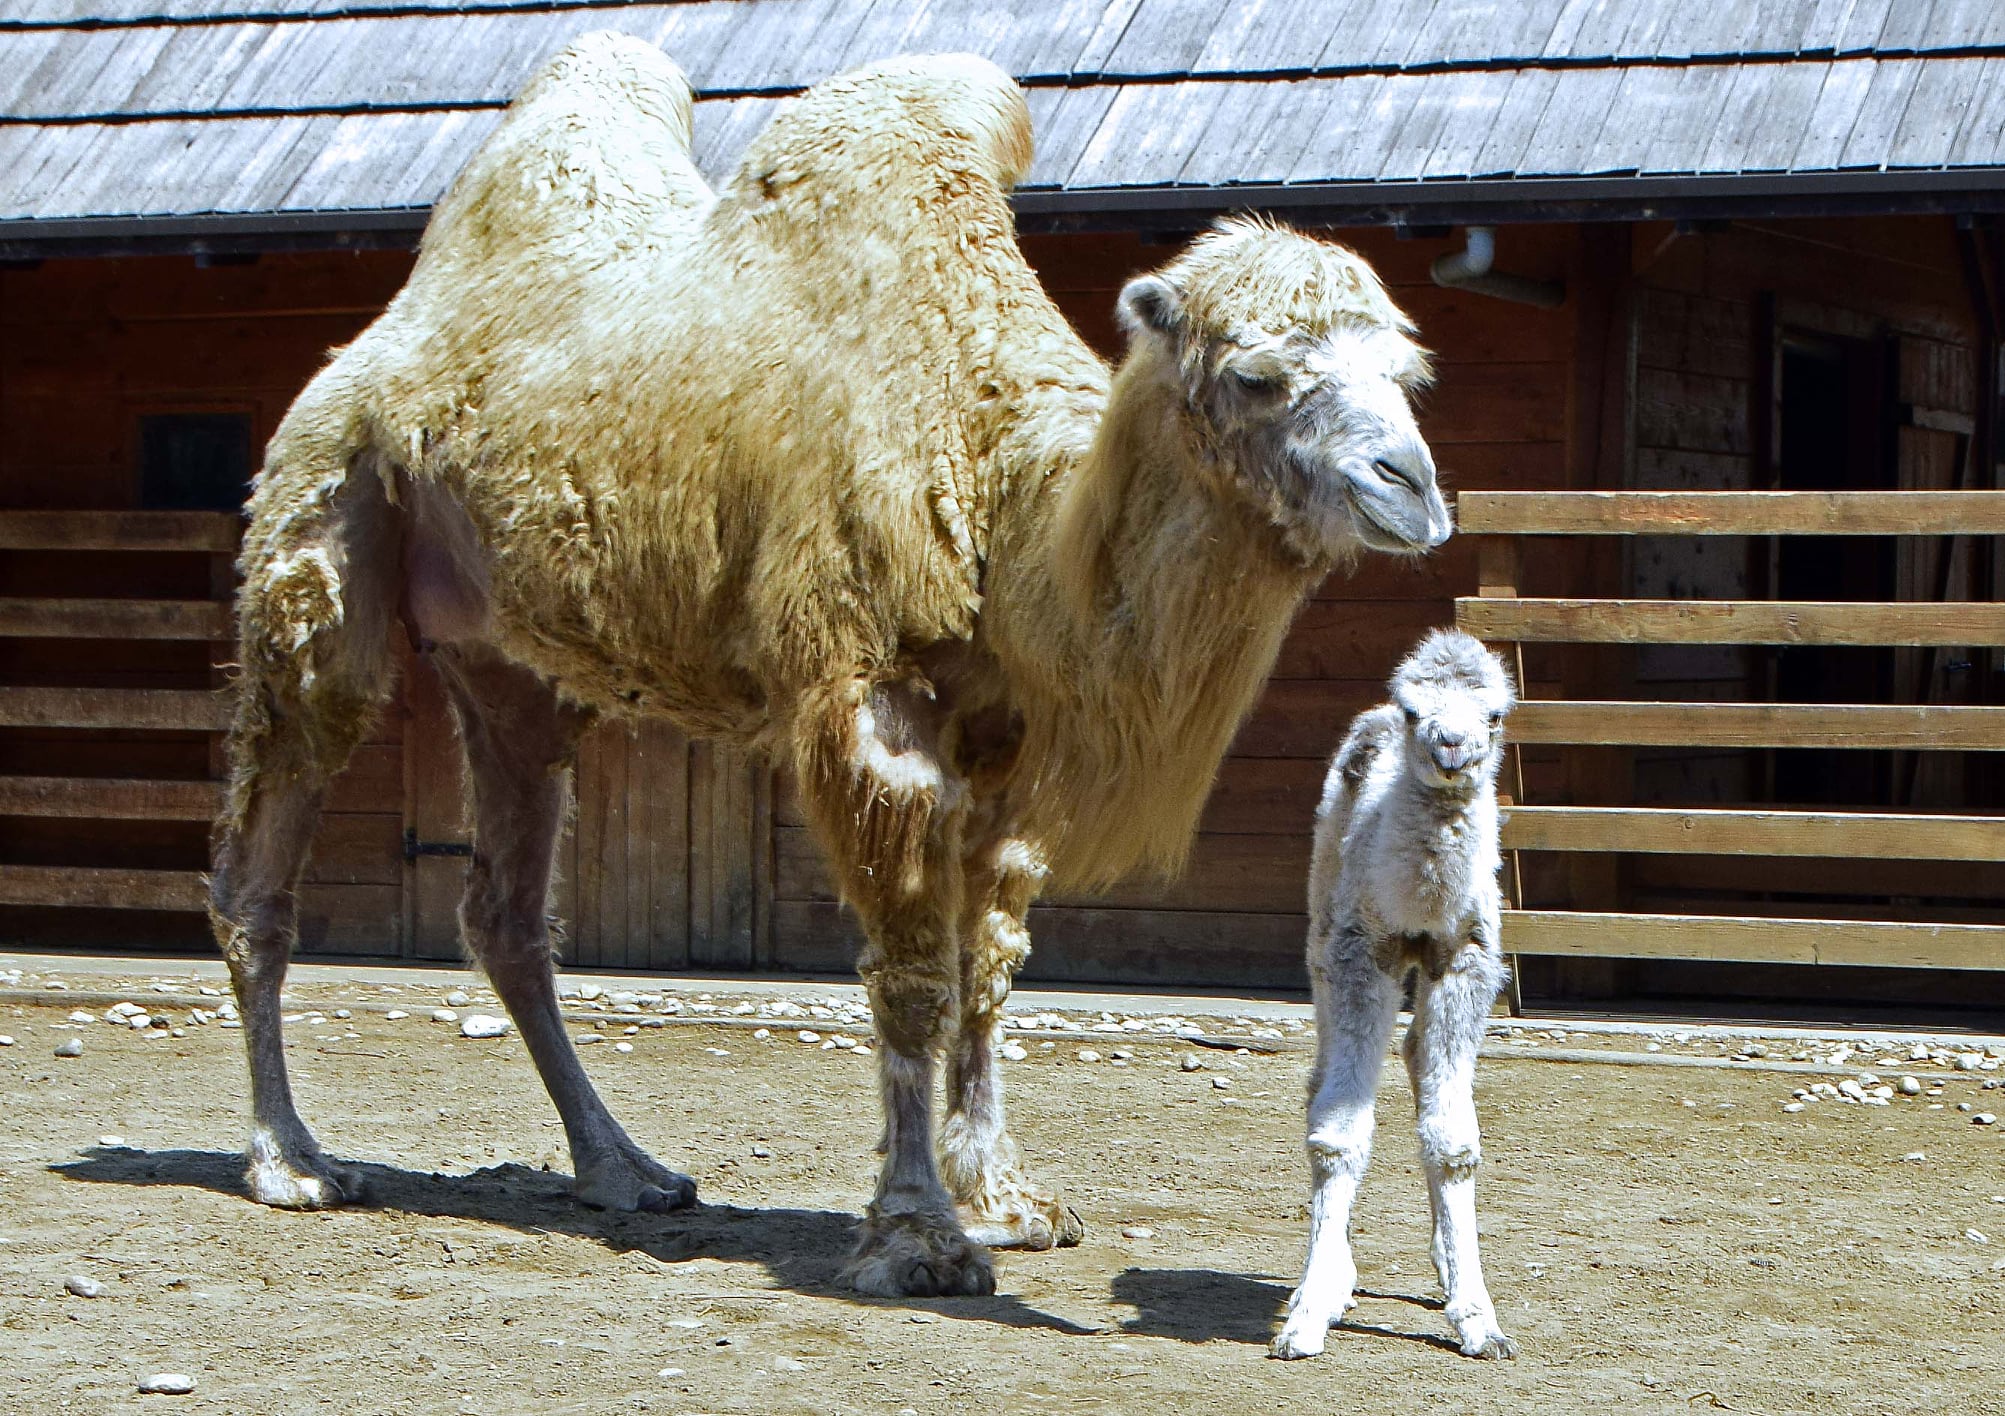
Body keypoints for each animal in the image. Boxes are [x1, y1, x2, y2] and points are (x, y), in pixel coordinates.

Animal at [211, 30, 1451, 1291]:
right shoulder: (868, 705)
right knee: (267, 852)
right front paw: (917, 1236)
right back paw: (291, 1161)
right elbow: (912, 978)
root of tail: (367, 344)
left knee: (506, 911)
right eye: (1257, 376)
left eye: (1408, 376)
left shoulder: (1006, 735)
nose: (1411, 486)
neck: (993, 480)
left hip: (505, 665)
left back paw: (623, 1169)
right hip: (322, 530)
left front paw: (1003, 1198)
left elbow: (990, 962)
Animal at [1267, 629, 1515, 1355]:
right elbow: (1337, 1134)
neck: (1418, 908)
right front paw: (1307, 1315)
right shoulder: (1360, 950)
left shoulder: (1467, 958)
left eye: (1493, 714)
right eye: (1414, 711)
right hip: (1322, 921)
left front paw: (1479, 1318)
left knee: (1413, 1052)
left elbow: (1454, 1140)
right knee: (1322, 1078)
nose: (1451, 746)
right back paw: (1331, 1278)